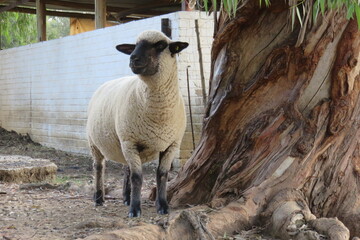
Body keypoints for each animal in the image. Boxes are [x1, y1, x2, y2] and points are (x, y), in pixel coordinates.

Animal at [86, 30, 188, 218]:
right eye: (135, 46)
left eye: (161, 45)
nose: (133, 58)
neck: (159, 115)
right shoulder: (130, 142)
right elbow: (137, 177)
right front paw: (135, 209)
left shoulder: (171, 144)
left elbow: (162, 174)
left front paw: (162, 206)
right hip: (94, 142)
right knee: (99, 167)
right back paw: (99, 198)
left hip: (123, 143)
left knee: (126, 168)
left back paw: (126, 197)